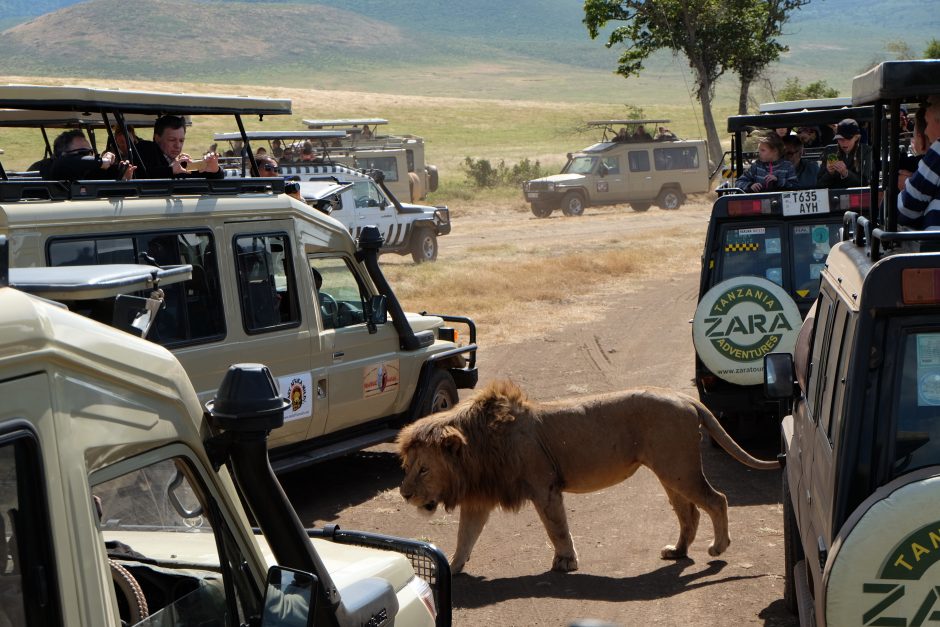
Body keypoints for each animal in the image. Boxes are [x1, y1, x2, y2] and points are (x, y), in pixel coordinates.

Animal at [396, 378, 780, 576]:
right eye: (407, 466)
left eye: (424, 468)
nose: (404, 494)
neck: (477, 448)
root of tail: (685, 397)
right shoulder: (480, 498)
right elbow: (466, 536)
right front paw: (450, 568)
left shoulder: (544, 486)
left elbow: (557, 528)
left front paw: (566, 562)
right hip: (670, 473)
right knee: (690, 513)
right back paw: (678, 551)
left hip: (678, 468)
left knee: (717, 500)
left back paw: (718, 547)